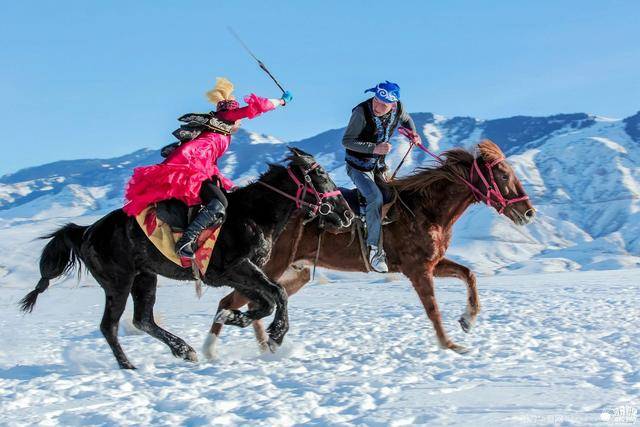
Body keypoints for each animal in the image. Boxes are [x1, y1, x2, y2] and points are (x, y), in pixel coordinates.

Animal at [20, 149, 352, 370]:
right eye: (321, 175)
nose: (347, 215)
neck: (254, 215)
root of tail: (87, 231)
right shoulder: (237, 268)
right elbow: (277, 294)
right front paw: (275, 336)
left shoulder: (245, 272)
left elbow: (264, 301)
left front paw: (234, 318)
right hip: (118, 282)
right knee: (110, 326)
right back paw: (129, 365)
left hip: (145, 277)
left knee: (143, 319)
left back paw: (184, 350)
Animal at [202, 139, 532, 356]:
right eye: (503, 175)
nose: (528, 212)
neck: (425, 209)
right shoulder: (418, 270)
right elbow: (433, 310)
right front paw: (450, 344)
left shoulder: (433, 264)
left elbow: (469, 274)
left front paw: (467, 320)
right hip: (269, 267)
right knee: (231, 302)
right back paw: (210, 350)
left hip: (294, 273)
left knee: (249, 302)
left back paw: (263, 345)